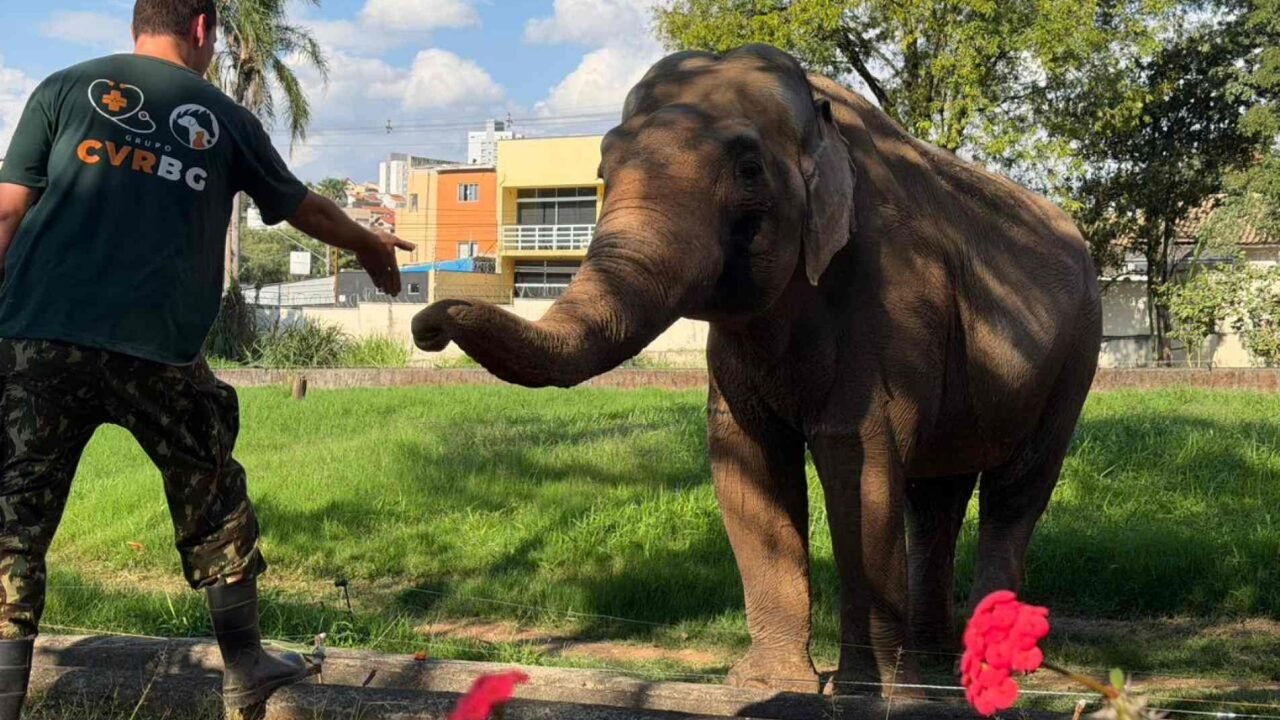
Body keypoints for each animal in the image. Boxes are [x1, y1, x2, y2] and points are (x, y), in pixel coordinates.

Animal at [412, 44, 1102, 696]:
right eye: (603, 171)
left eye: (748, 170)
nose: (428, 326)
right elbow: (748, 461)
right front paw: (767, 685)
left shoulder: (897, 300)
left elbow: (860, 461)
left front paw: (866, 692)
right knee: (936, 496)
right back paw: (936, 670)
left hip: (1076, 354)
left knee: (1016, 490)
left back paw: (984, 669)